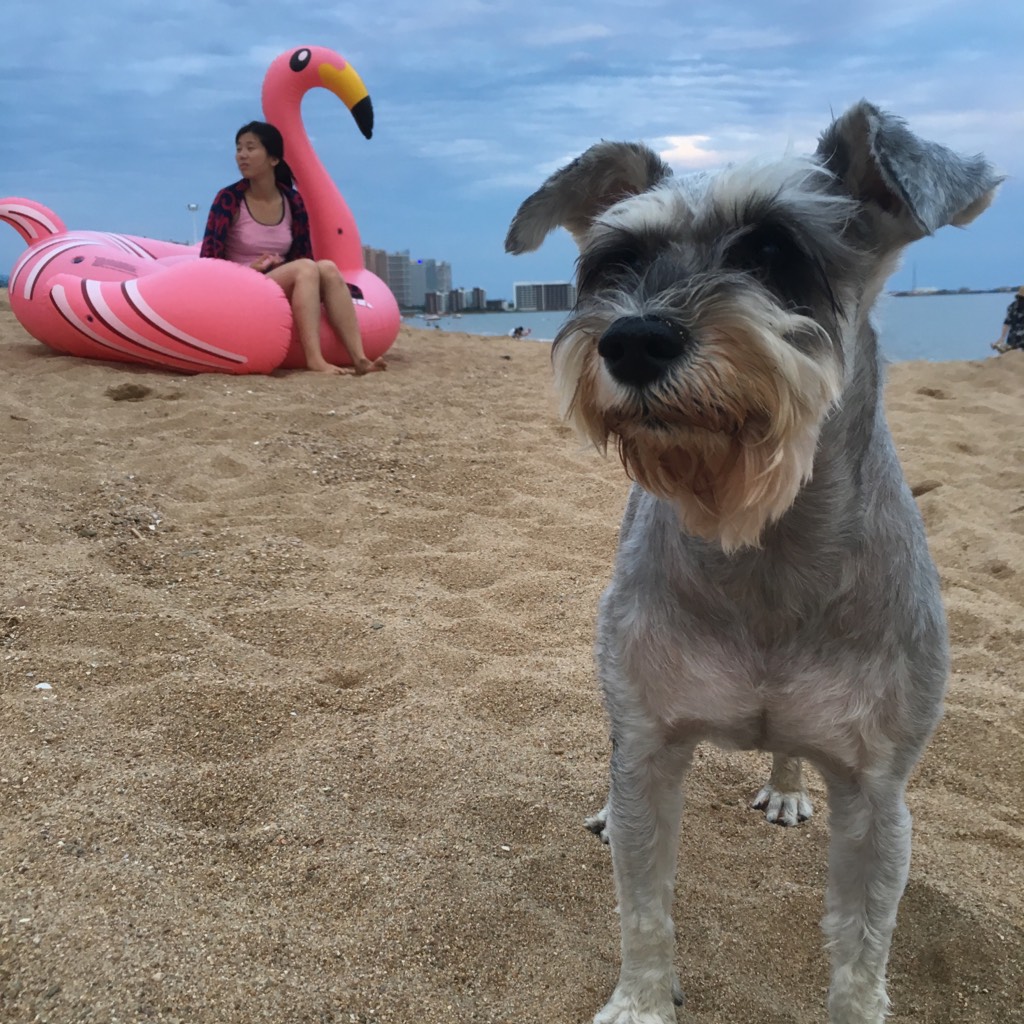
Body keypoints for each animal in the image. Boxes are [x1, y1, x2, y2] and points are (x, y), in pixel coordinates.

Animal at [505, 101, 999, 1023]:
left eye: (773, 251)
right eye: (617, 262)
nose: (633, 340)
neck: (762, 555)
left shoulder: (878, 794)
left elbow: (862, 952)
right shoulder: (651, 742)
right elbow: (644, 905)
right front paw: (642, 1001)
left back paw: (788, 783)